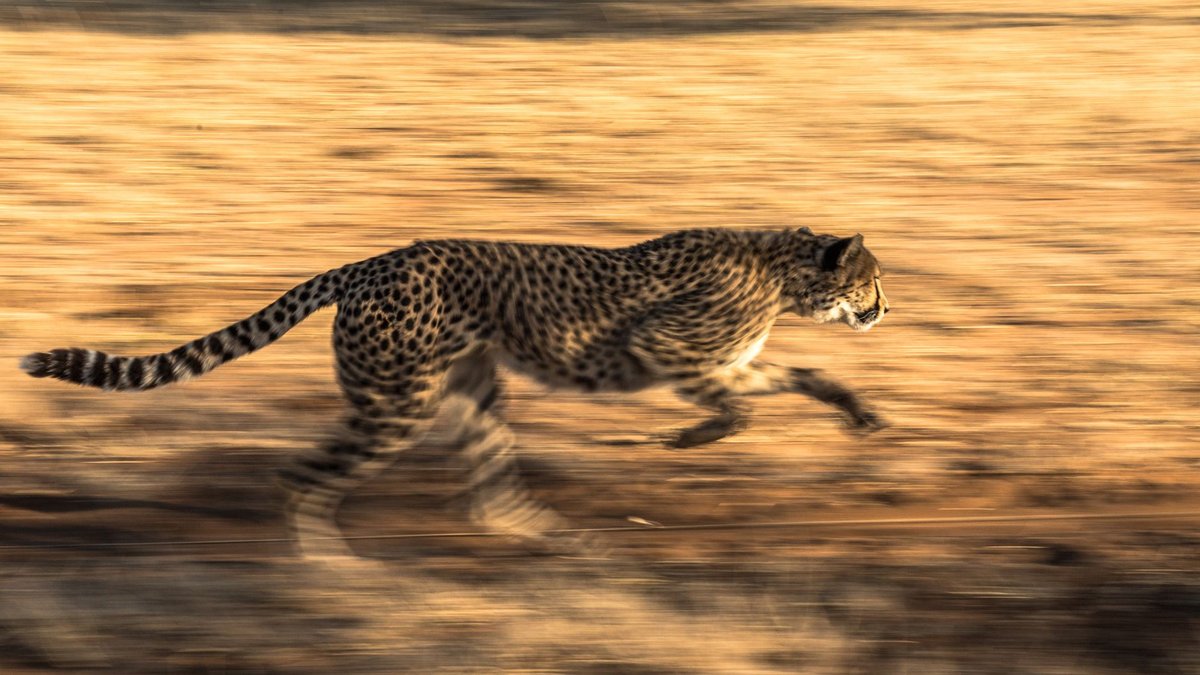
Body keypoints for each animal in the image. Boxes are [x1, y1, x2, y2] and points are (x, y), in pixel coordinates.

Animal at [20, 226, 889, 560]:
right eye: (871, 281)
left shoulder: (728, 360)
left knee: (490, 494)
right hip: (396, 402)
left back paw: (565, 544)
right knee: (299, 476)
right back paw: (332, 573)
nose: (885, 310)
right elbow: (738, 404)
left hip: (470, 391)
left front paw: (862, 413)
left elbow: (801, 379)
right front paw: (691, 437)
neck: (783, 269)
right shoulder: (667, 350)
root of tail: (372, 260)